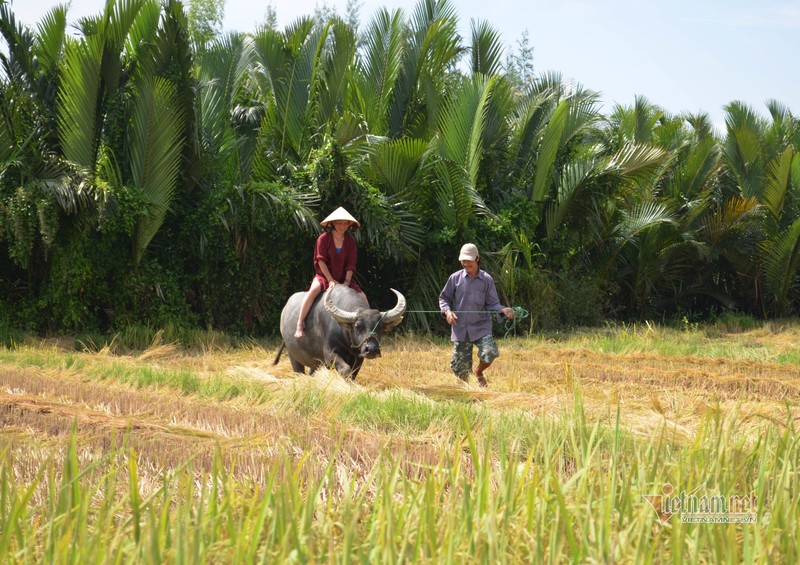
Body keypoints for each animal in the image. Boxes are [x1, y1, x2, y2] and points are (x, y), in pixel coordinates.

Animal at [276, 284, 406, 376]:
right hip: (293, 356)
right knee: (299, 372)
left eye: (380, 326)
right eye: (357, 326)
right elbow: (345, 370)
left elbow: (353, 374)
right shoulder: (329, 354)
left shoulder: (359, 357)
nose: (372, 349)